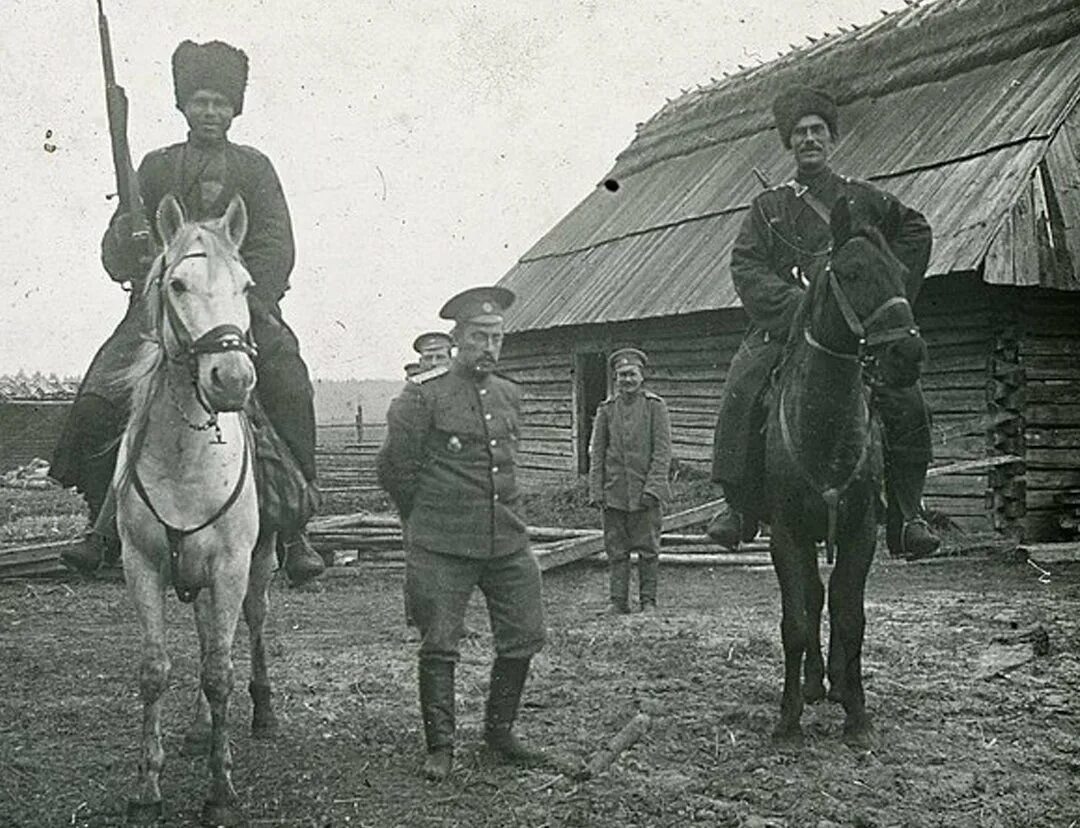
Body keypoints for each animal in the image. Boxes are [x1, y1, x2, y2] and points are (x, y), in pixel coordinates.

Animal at [118, 192, 278, 820]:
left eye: (246, 284)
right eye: (177, 285)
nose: (231, 379)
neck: (187, 457)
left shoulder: (231, 566)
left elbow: (219, 673)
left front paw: (222, 791)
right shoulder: (141, 564)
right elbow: (155, 670)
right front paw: (146, 787)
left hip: (257, 566)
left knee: (250, 627)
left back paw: (263, 712)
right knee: (208, 629)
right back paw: (196, 728)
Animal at [760, 197, 928, 747]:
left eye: (901, 272)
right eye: (851, 272)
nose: (908, 354)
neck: (826, 427)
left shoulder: (860, 531)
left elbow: (852, 618)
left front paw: (857, 712)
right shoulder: (786, 534)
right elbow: (796, 619)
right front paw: (789, 716)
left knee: (830, 599)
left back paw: (834, 682)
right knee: (813, 598)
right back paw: (816, 683)